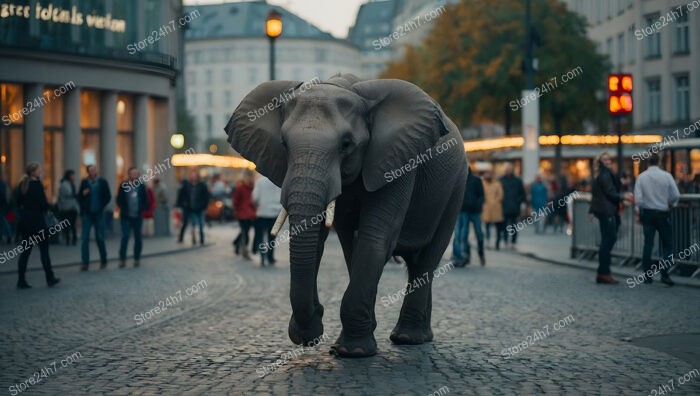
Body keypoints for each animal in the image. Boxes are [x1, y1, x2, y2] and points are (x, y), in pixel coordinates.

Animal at [227, 74, 468, 358]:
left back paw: (408, 338)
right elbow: (330, 240)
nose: (312, 328)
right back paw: (419, 335)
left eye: (346, 145)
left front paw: (352, 351)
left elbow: (375, 239)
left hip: (457, 186)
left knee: (426, 259)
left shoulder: (397, 161)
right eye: (284, 145)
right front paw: (319, 334)